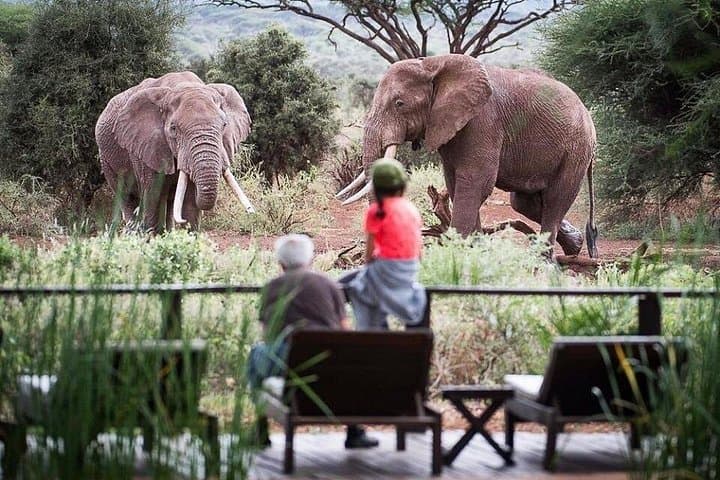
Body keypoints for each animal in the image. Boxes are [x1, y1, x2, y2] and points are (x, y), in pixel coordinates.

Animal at [96, 71, 255, 233]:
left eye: (224, 125)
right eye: (173, 129)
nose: (251, 211)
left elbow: (190, 201)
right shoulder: (144, 147)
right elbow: (153, 196)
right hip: (106, 160)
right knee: (126, 197)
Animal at [336, 54, 598, 258]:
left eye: (399, 103)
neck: (432, 64)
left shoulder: (483, 122)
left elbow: (475, 183)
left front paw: (457, 258)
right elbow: (456, 185)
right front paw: (476, 253)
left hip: (576, 150)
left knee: (555, 200)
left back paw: (542, 263)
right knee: (525, 202)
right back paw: (575, 245)